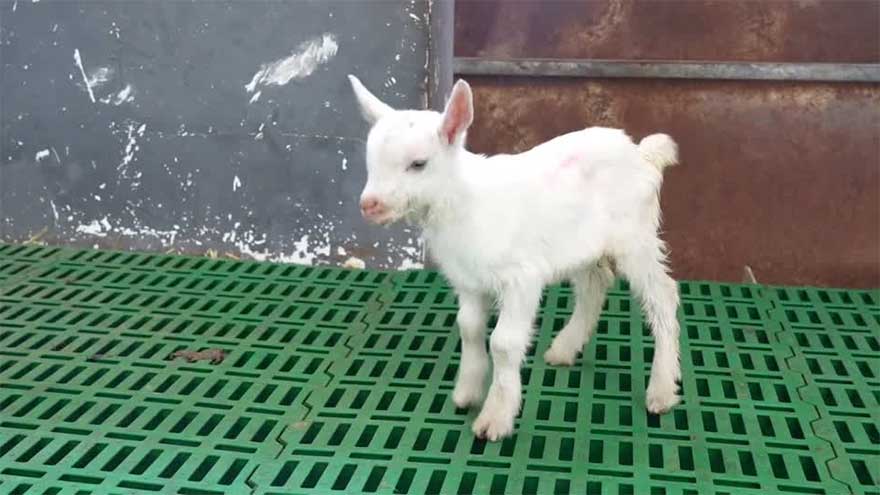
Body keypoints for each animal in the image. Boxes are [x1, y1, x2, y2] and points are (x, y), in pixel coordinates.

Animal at [349, 75, 682, 441]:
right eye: (370, 162)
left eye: (418, 164)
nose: (369, 205)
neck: (465, 202)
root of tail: (642, 154)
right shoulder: (468, 280)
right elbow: (469, 327)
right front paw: (467, 391)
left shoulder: (521, 278)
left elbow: (504, 343)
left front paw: (495, 417)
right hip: (582, 245)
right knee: (594, 285)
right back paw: (564, 349)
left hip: (635, 236)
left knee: (662, 295)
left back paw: (662, 390)